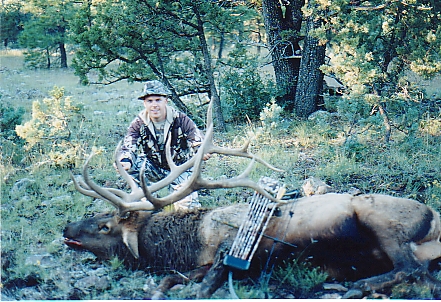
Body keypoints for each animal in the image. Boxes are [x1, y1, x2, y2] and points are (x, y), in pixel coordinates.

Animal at [63, 107, 440, 298]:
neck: (186, 242)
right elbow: (172, 280)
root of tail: (435, 219)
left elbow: (193, 285)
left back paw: (356, 287)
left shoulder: (224, 250)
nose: (66, 228)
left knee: (410, 268)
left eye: (104, 225)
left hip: (382, 221)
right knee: (421, 276)